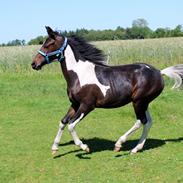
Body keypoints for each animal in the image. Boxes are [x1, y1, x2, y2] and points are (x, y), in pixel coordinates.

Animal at [32, 25, 183, 154]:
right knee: (148, 122)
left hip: (139, 101)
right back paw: (136, 148)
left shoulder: (87, 105)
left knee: (141, 121)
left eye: (48, 44)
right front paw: (54, 148)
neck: (79, 74)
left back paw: (119, 145)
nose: (34, 64)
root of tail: (159, 72)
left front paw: (84, 147)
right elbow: (63, 122)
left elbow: (71, 125)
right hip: (144, 103)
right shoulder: (75, 104)